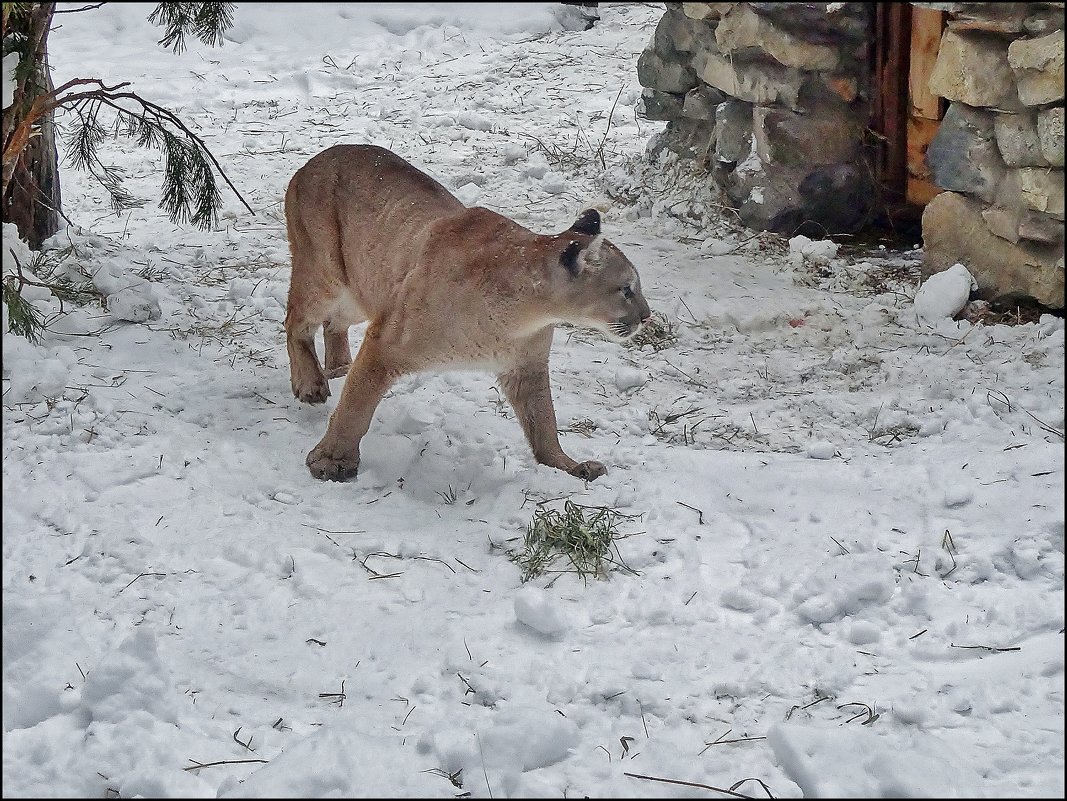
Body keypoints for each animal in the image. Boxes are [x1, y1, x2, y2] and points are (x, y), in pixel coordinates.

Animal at [283, 143, 648, 482]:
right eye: (627, 289)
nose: (646, 316)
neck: (525, 313)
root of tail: (318, 158)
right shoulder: (384, 343)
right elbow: (356, 406)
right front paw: (332, 460)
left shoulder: (526, 367)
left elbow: (544, 422)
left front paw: (566, 465)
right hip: (326, 277)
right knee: (295, 320)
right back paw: (311, 383)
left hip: (362, 291)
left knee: (333, 323)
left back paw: (339, 367)